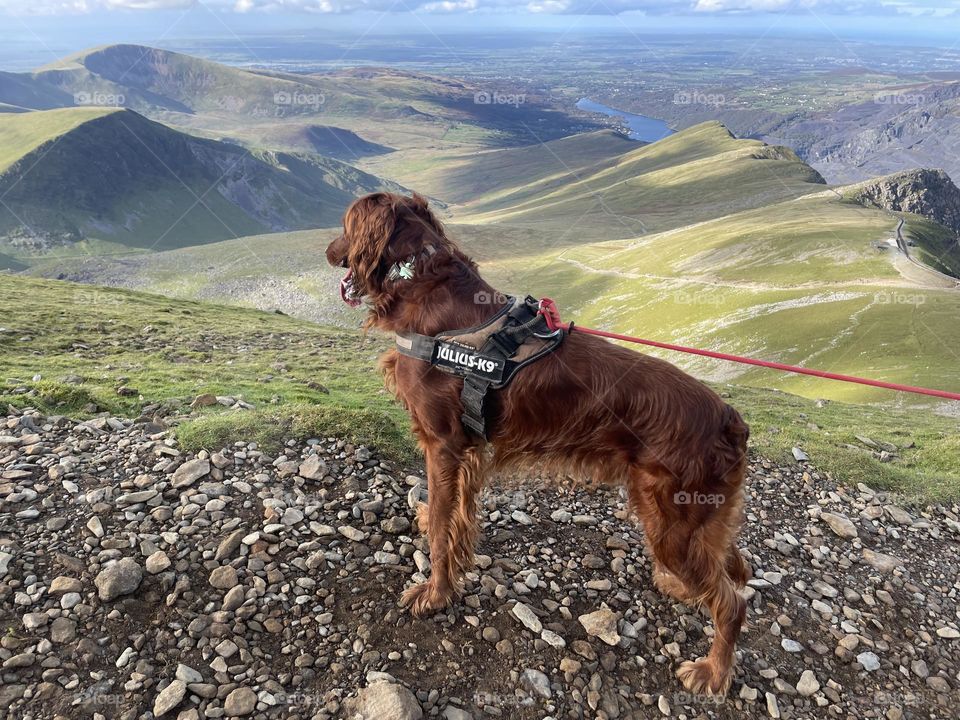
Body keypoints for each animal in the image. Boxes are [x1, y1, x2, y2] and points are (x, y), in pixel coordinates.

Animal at [326, 193, 752, 696]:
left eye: (344, 226)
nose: (329, 251)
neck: (420, 280)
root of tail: (729, 419)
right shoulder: (467, 450)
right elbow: (455, 519)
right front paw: (443, 539)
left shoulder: (443, 443)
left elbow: (439, 536)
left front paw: (434, 593)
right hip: (697, 519)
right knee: (733, 569)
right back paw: (684, 592)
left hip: (671, 522)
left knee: (733, 602)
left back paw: (712, 672)